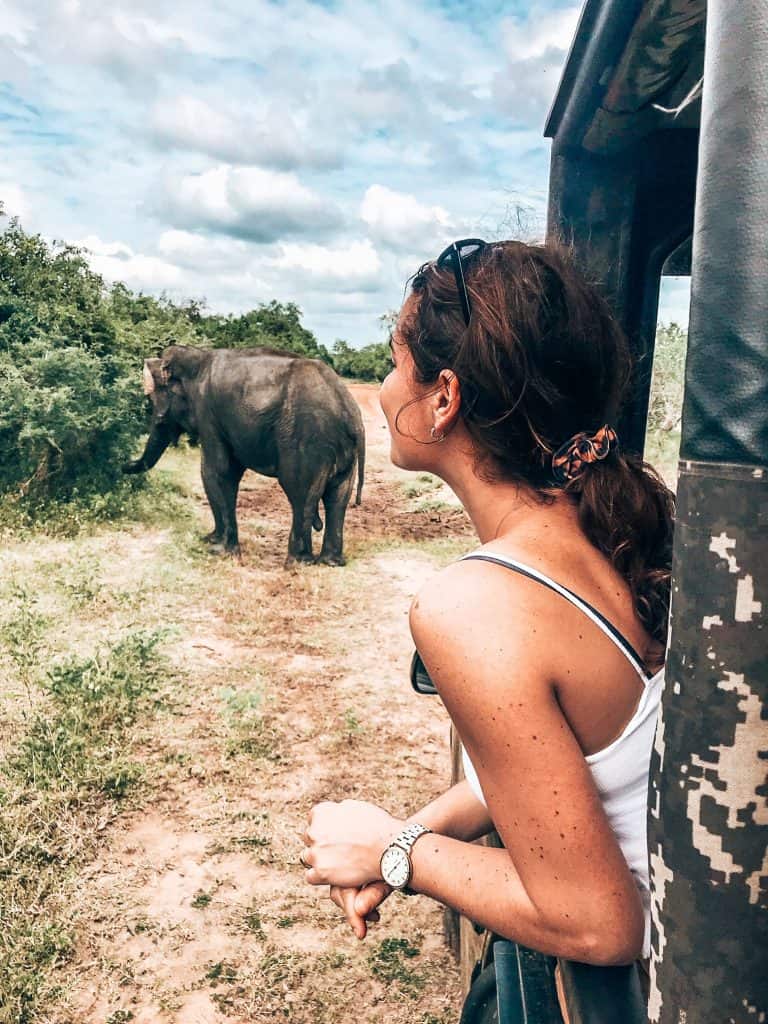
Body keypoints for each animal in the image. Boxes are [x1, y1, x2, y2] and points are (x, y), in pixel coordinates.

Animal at [123, 345, 365, 566]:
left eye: (153, 401)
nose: (122, 464)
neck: (198, 357)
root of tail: (351, 414)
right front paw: (210, 540)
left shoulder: (208, 413)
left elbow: (216, 471)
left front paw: (218, 550)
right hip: (342, 450)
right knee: (338, 497)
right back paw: (330, 562)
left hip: (308, 441)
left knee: (300, 494)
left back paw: (296, 563)